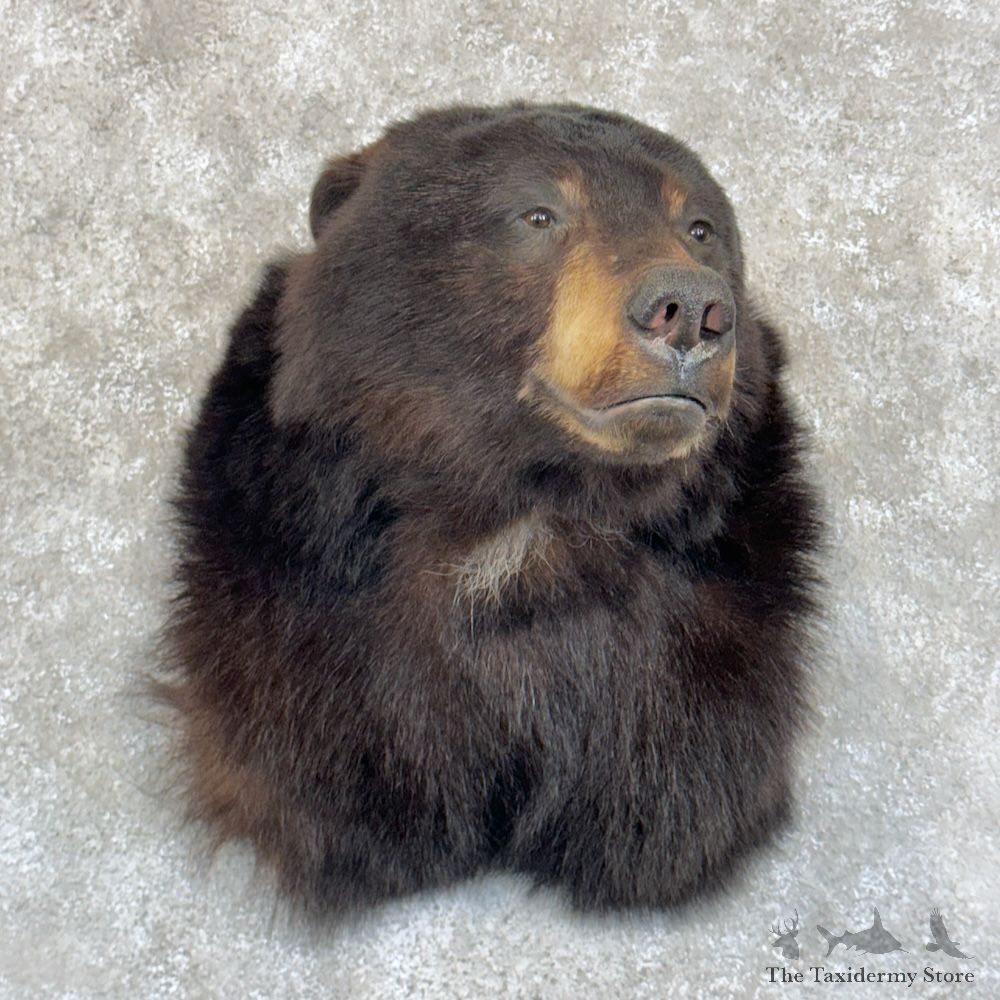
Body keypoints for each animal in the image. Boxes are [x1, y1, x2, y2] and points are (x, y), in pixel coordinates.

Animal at [161, 102, 821, 916]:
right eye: (538, 213)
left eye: (699, 227)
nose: (692, 307)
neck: (528, 505)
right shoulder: (301, 591)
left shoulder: (708, 631)